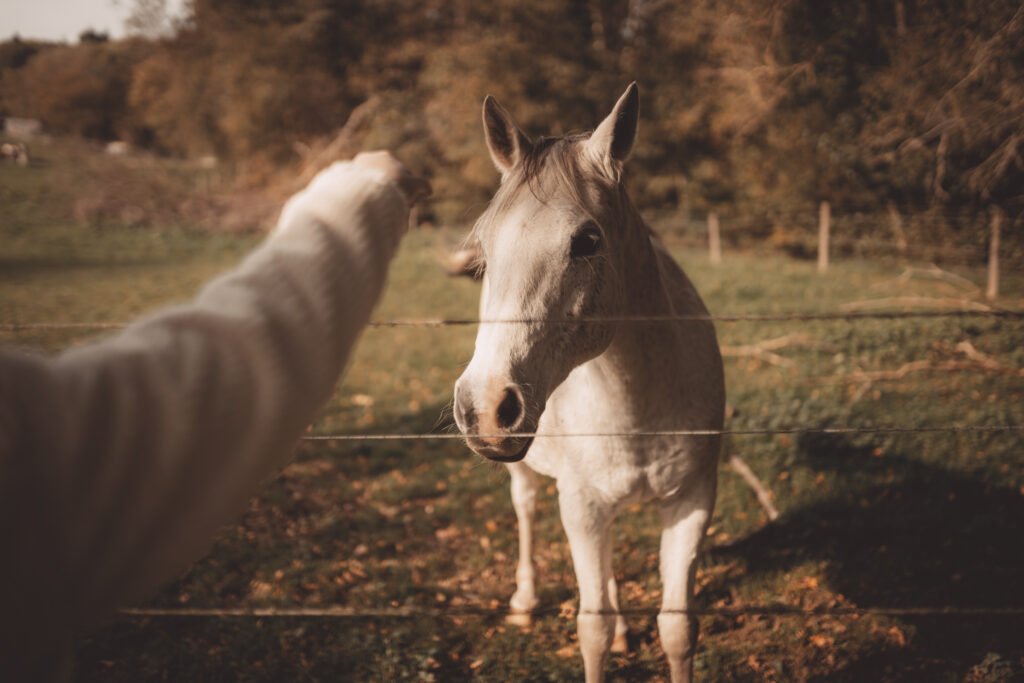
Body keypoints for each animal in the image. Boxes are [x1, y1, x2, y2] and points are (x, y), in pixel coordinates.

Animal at [452, 82, 724, 679]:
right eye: (484, 249)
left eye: (588, 240)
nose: (485, 406)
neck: (637, 406)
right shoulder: (580, 506)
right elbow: (591, 630)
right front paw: (602, 632)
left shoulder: (692, 502)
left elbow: (678, 629)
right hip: (529, 471)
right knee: (525, 507)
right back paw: (525, 601)